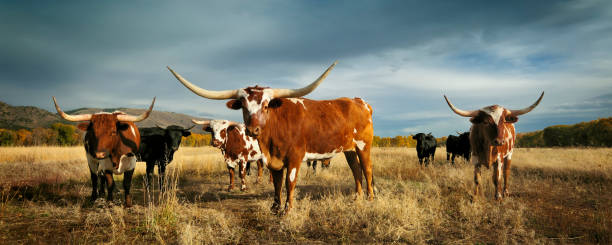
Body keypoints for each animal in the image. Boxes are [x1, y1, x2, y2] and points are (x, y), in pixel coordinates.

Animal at [170, 62, 376, 213]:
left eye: (266, 105)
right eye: (243, 105)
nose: (253, 130)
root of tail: (359, 102)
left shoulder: (294, 157)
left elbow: (289, 182)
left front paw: (287, 209)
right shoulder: (272, 159)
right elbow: (276, 183)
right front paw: (275, 207)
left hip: (363, 145)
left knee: (367, 169)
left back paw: (370, 198)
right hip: (349, 149)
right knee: (356, 170)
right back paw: (357, 197)